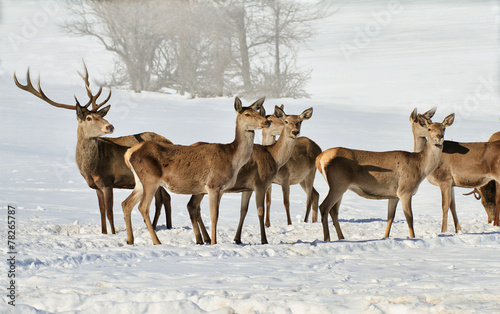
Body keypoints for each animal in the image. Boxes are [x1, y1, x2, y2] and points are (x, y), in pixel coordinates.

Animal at [14, 65, 174, 234]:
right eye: (89, 118)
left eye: (100, 115)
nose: (110, 126)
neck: (92, 168)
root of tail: (170, 141)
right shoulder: (96, 186)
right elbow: (102, 211)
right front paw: (104, 232)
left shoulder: (108, 181)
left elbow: (110, 212)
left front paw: (113, 233)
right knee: (164, 199)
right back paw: (163, 226)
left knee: (163, 199)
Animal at [121, 97, 270, 244]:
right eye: (247, 114)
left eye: (258, 112)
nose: (266, 122)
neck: (233, 159)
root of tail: (128, 153)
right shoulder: (213, 185)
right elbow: (214, 216)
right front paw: (213, 243)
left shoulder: (220, 189)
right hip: (150, 179)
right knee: (143, 207)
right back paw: (156, 242)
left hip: (140, 182)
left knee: (126, 203)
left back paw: (130, 240)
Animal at [318, 112, 456, 240]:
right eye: (429, 128)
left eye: (443, 128)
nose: (439, 137)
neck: (420, 167)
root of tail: (319, 159)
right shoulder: (405, 190)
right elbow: (410, 218)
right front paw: (413, 238)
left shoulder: (393, 195)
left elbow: (390, 217)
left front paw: (385, 237)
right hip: (338, 183)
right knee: (324, 207)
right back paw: (327, 239)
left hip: (341, 186)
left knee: (333, 210)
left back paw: (341, 237)